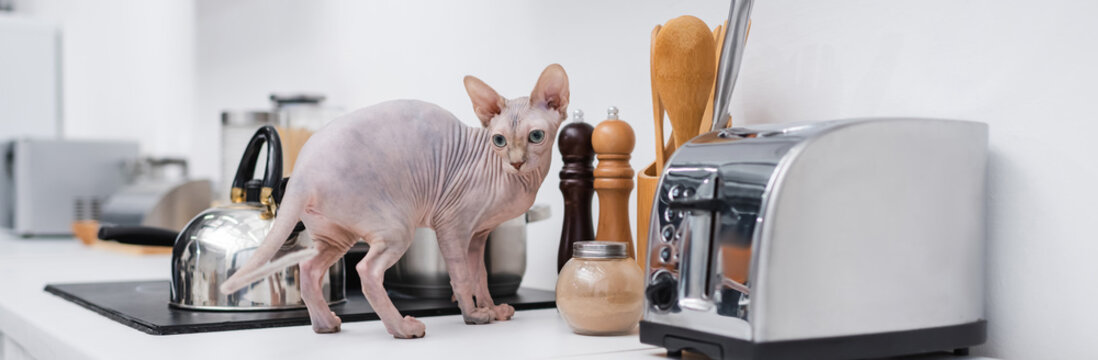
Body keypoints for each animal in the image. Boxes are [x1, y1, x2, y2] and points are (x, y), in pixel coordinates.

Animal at [219, 62, 570, 338]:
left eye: (535, 136)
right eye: (498, 141)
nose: (516, 162)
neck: (515, 180)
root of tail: (301, 172)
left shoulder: (478, 235)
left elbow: (480, 276)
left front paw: (492, 309)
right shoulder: (453, 226)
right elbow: (462, 276)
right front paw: (473, 315)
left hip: (335, 235)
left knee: (308, 268)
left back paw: (325, 323)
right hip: (396, 227)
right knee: (366, 271)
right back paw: (402, 328)